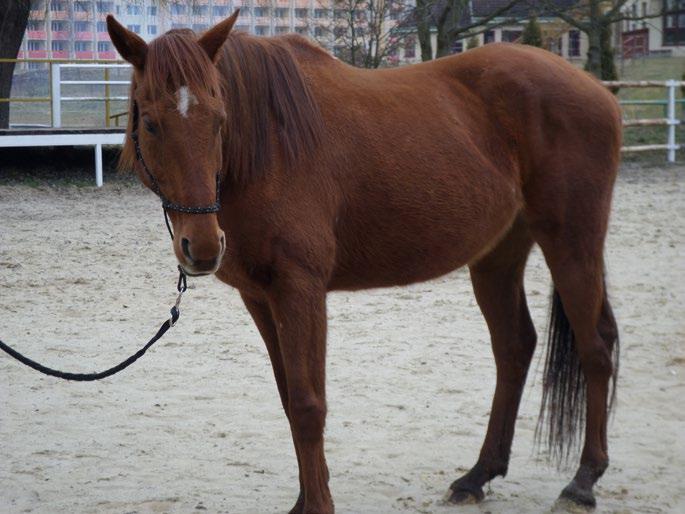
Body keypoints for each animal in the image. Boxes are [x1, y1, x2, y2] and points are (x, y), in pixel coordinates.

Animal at [105, 12, 620, 512]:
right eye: (151, 124)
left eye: (218, 120)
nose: (204, 247)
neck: (270, 144)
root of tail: (597, 91)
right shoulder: (261, 296)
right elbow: (289, 399)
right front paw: (305, 501)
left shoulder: (301, 290)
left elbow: (309, 405)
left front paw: (317, 505)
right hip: (497, 257)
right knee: (514, 349)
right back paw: (477, 477)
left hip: (572, 243)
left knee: (595, 348)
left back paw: (583, 482)